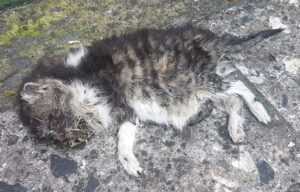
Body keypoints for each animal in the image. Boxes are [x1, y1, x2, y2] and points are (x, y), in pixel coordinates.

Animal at [18, 26, 282, 176]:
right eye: (63, 137)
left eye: (57, 118)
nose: (80, 137)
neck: (80, 78)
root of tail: (213, 40)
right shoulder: (128, 111)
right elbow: (124, 140)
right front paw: (129, 163)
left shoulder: (119, 98)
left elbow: (122, 138)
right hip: (199, 87)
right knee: (232, 99)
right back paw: (235, 128)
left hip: (200, 79)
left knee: (240, 86)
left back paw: (259, 111)